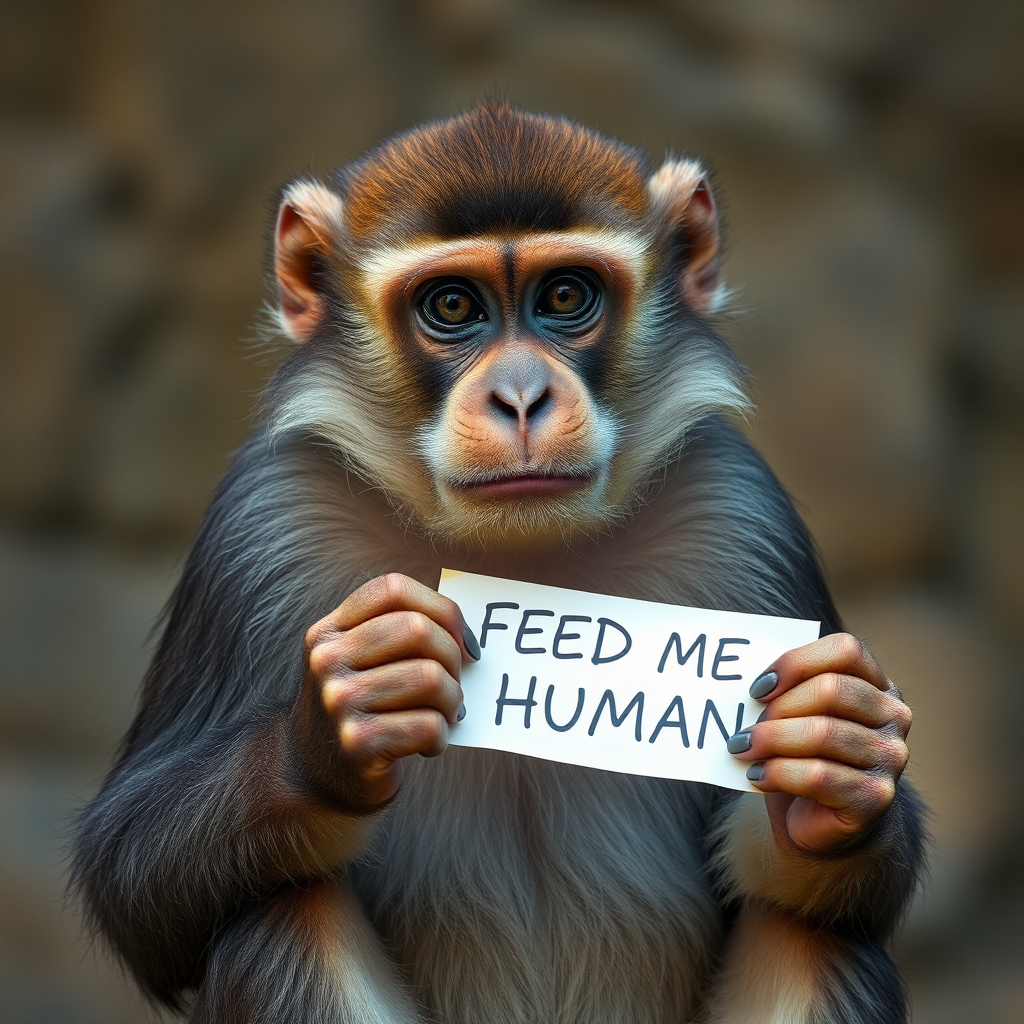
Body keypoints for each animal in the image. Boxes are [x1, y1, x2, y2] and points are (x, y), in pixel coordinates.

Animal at [71, 104, 924, 1024]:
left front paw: (837, 754)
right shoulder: (262, 522)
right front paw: (333, 729)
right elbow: (131, 878)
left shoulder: (741, 508)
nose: (520, 397)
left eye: (565, 296)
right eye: (451, 304)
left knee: (815, 936)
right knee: (286, 914)